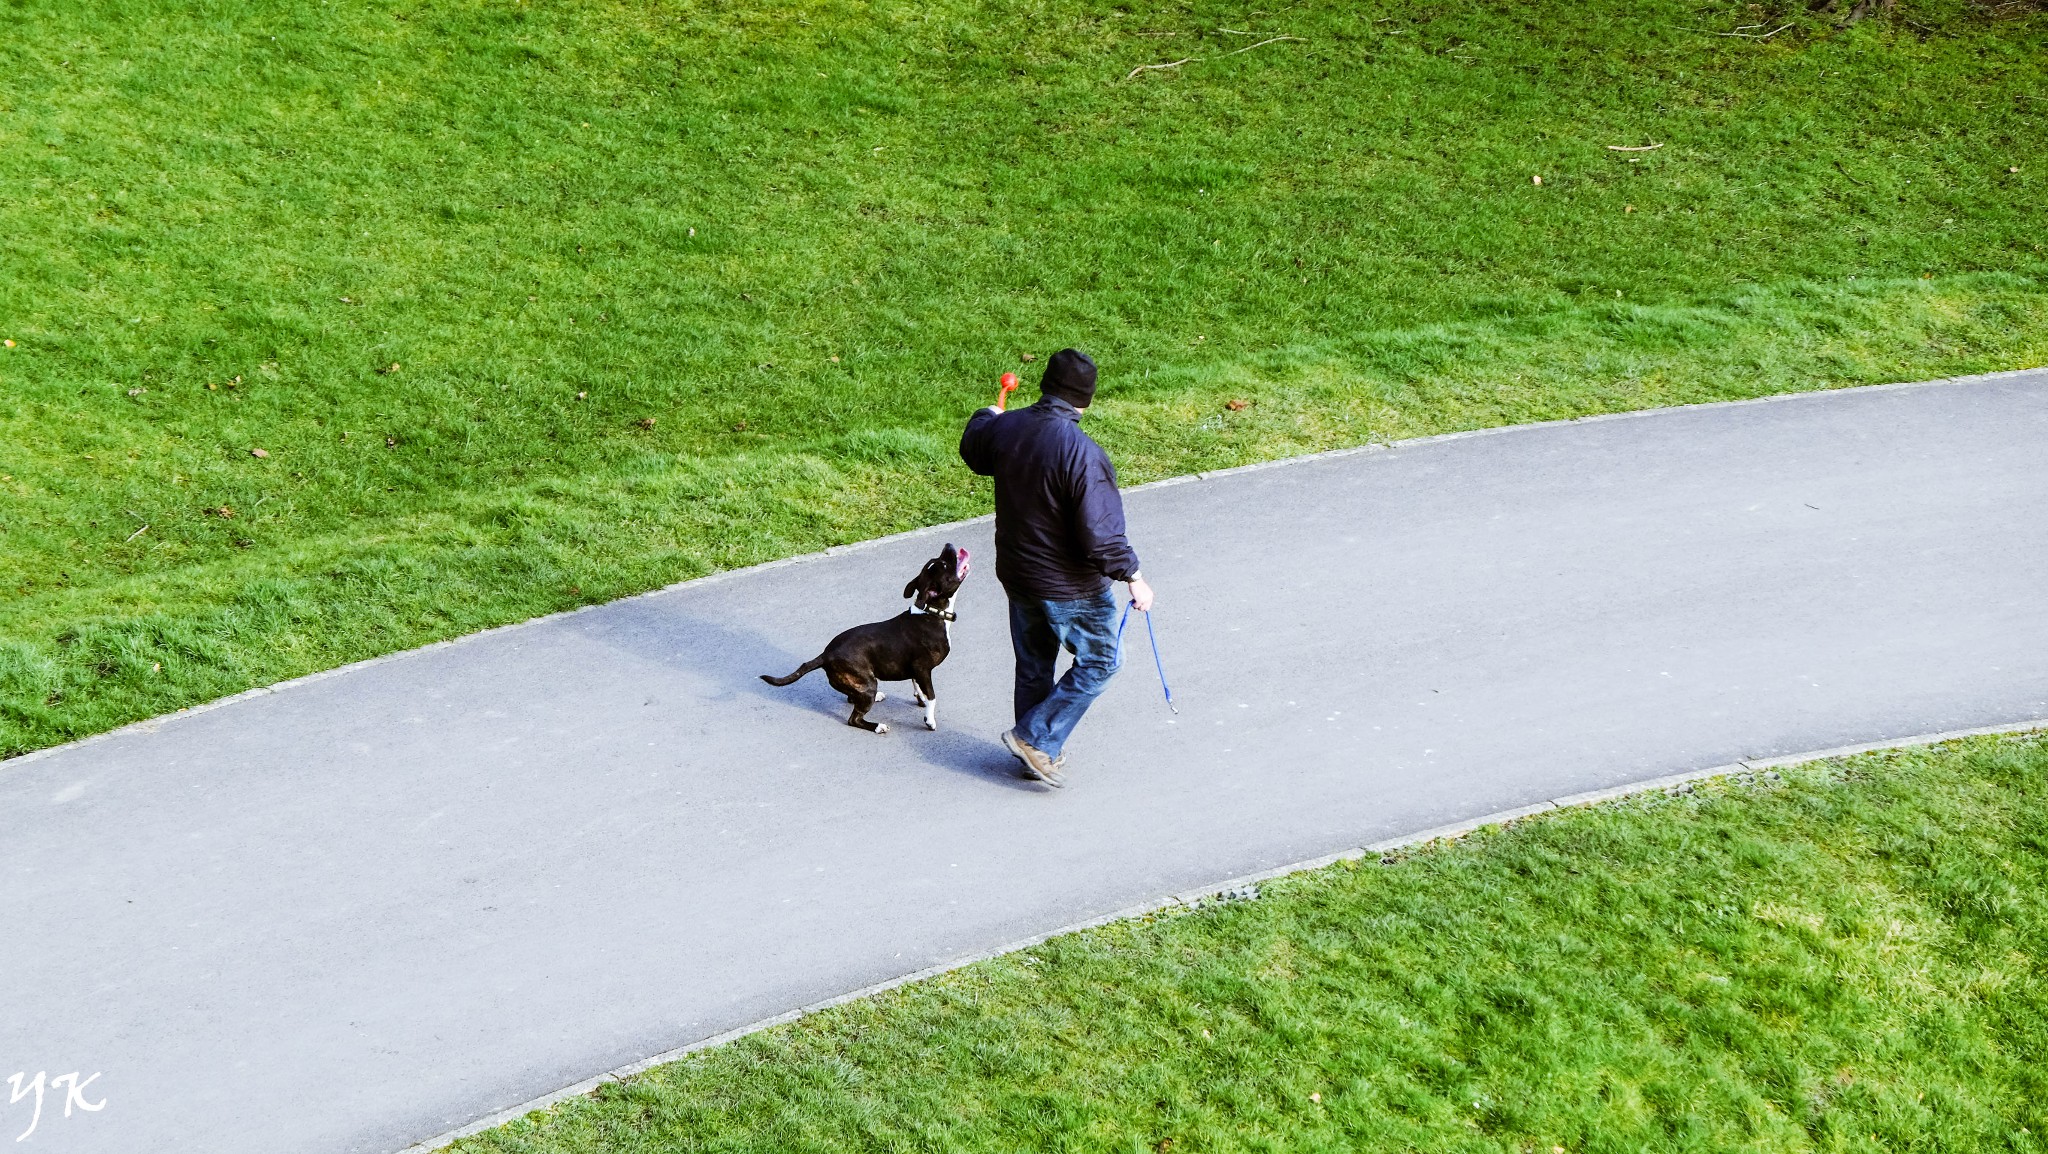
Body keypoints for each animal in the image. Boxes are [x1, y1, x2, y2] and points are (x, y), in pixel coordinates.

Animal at [761, 545, 966, 742]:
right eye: (945, 565)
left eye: (938, 561)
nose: (948, 545)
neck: (930, 611)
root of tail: (826, 655)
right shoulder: (922, 669)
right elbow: (932, 696)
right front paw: (929, 720)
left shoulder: (916, 672)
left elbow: (918, 687)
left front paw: (920, 699)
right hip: (868, 685)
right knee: (854, 718)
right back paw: (878, 726)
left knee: (852, 698)